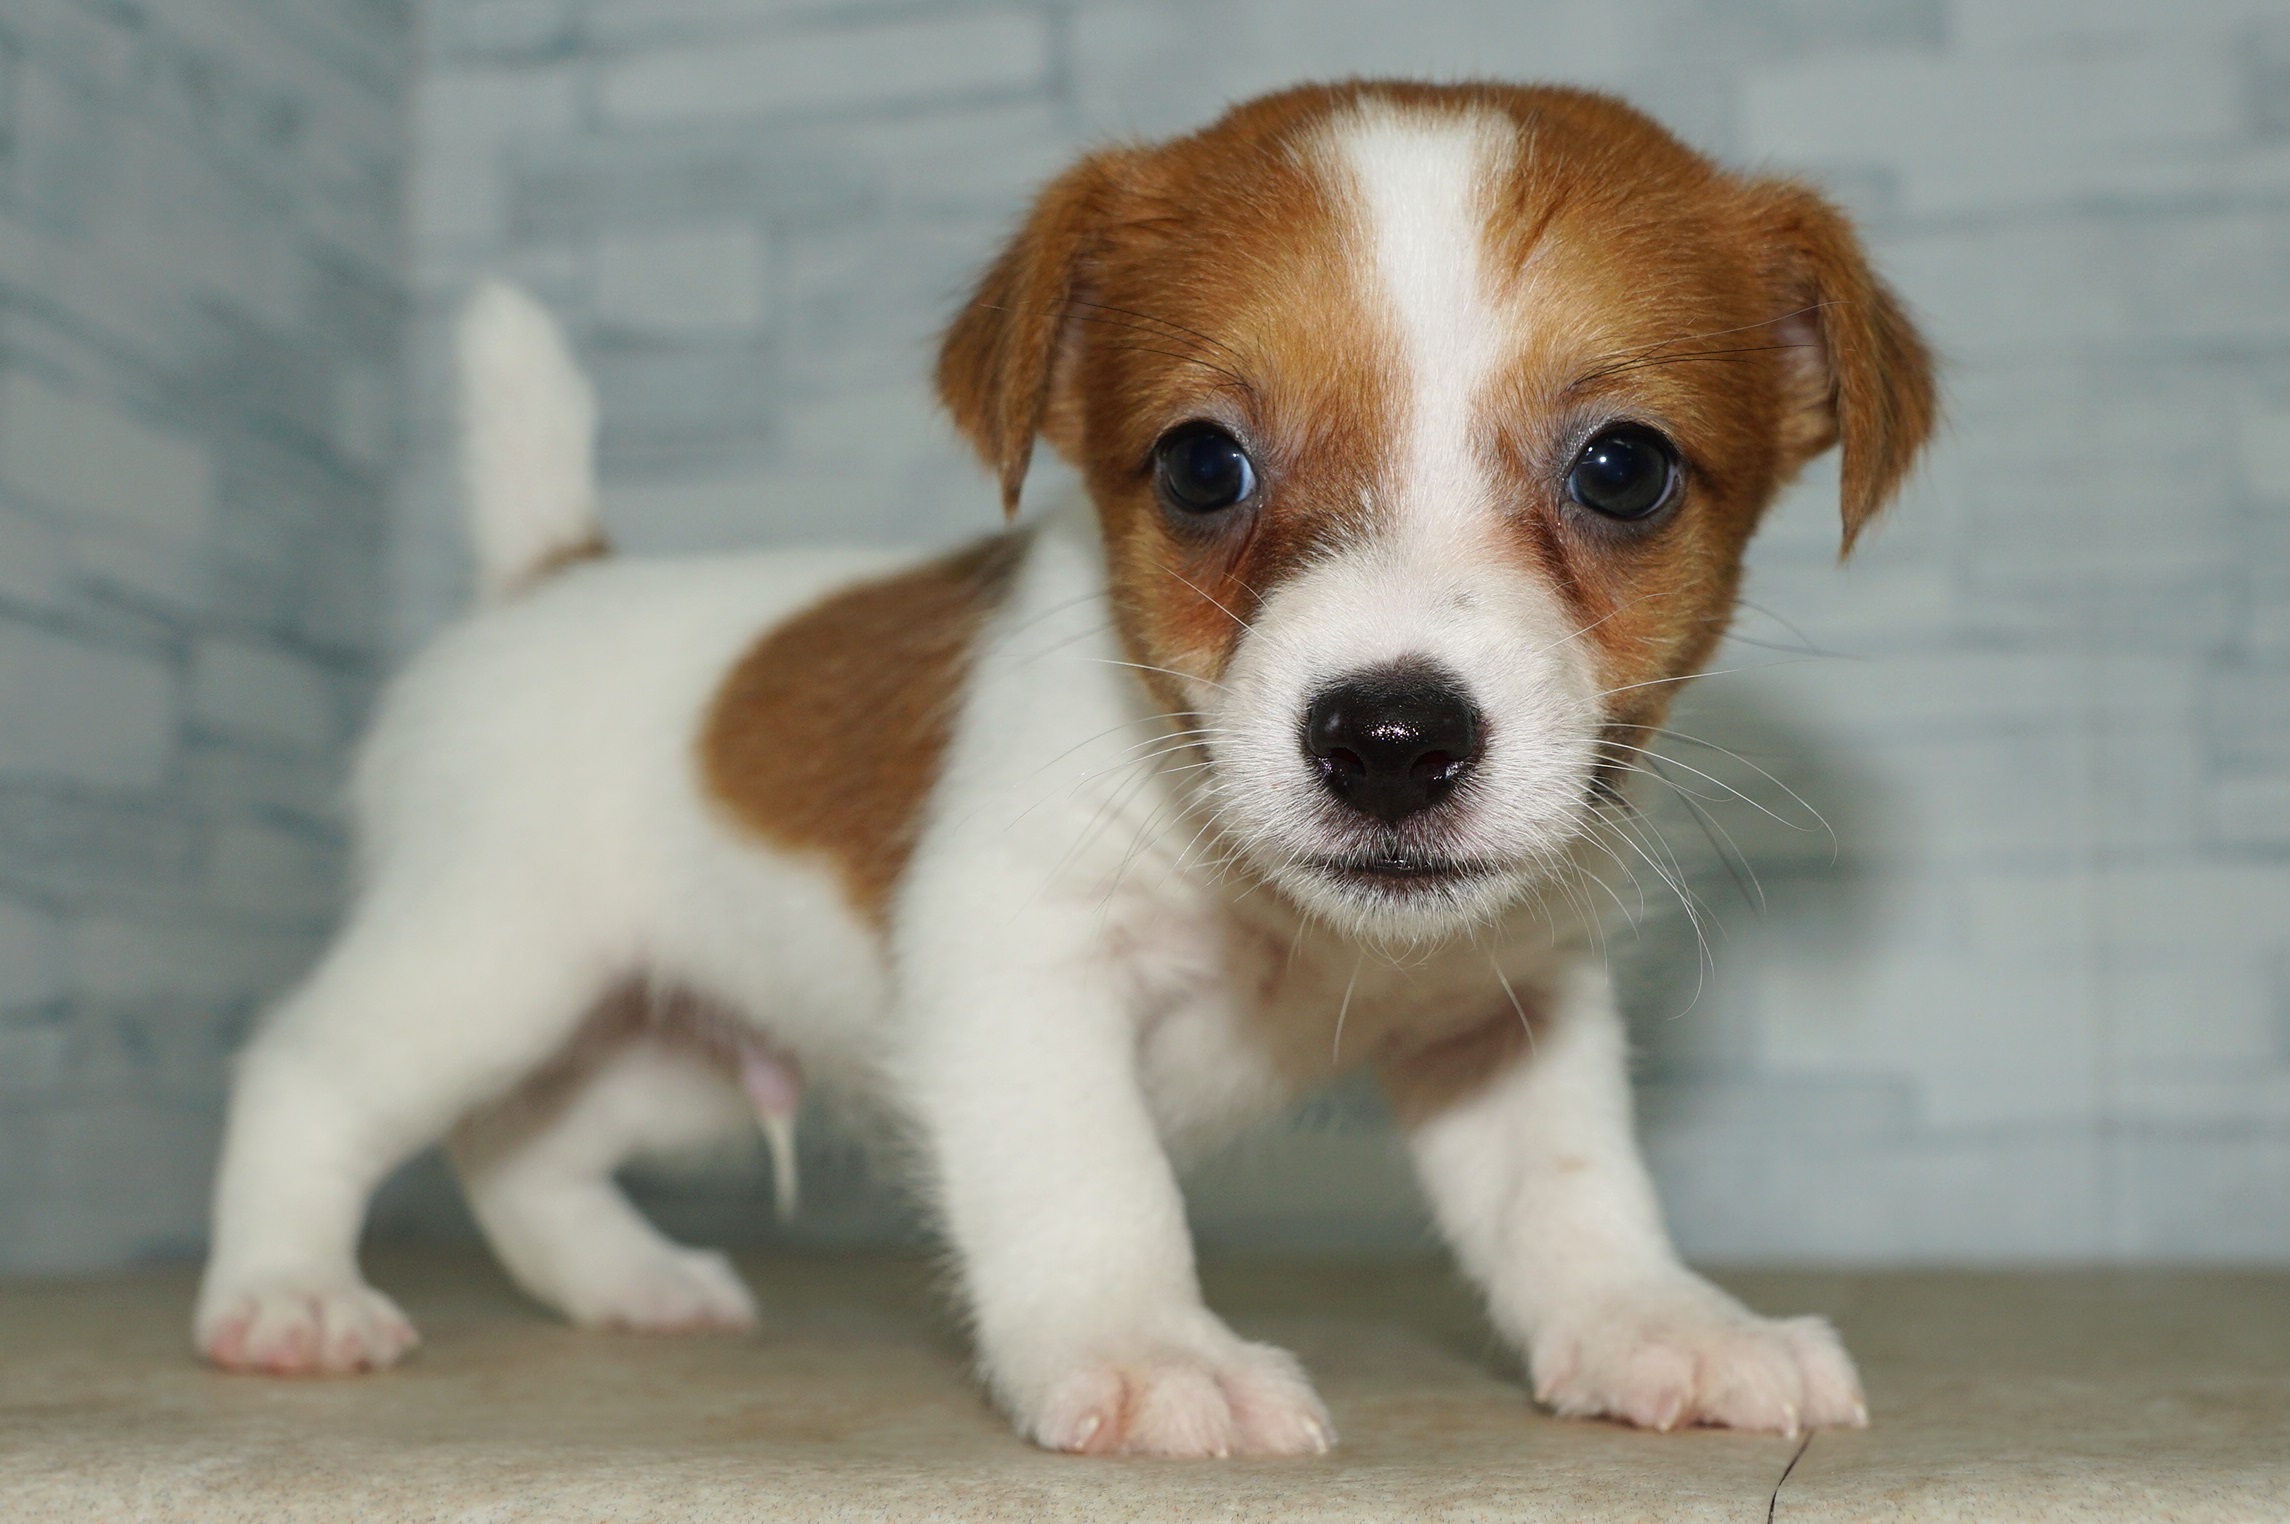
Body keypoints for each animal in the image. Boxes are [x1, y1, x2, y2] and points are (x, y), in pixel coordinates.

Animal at [196, 80, 1932, 1446]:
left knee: (521, 1147)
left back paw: (627, 1282)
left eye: (1622, 471)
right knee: (310, 1074)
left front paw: (1660, 1325)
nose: (1388, 740)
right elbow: (1091, 1181)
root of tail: (547, 579)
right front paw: (1146, 1350)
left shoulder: (1503, 1019)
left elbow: (1572, 1195)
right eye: (1201, 466)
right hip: (488, 966)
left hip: (670, 1054)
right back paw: (286, 1291)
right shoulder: (1017, 966)